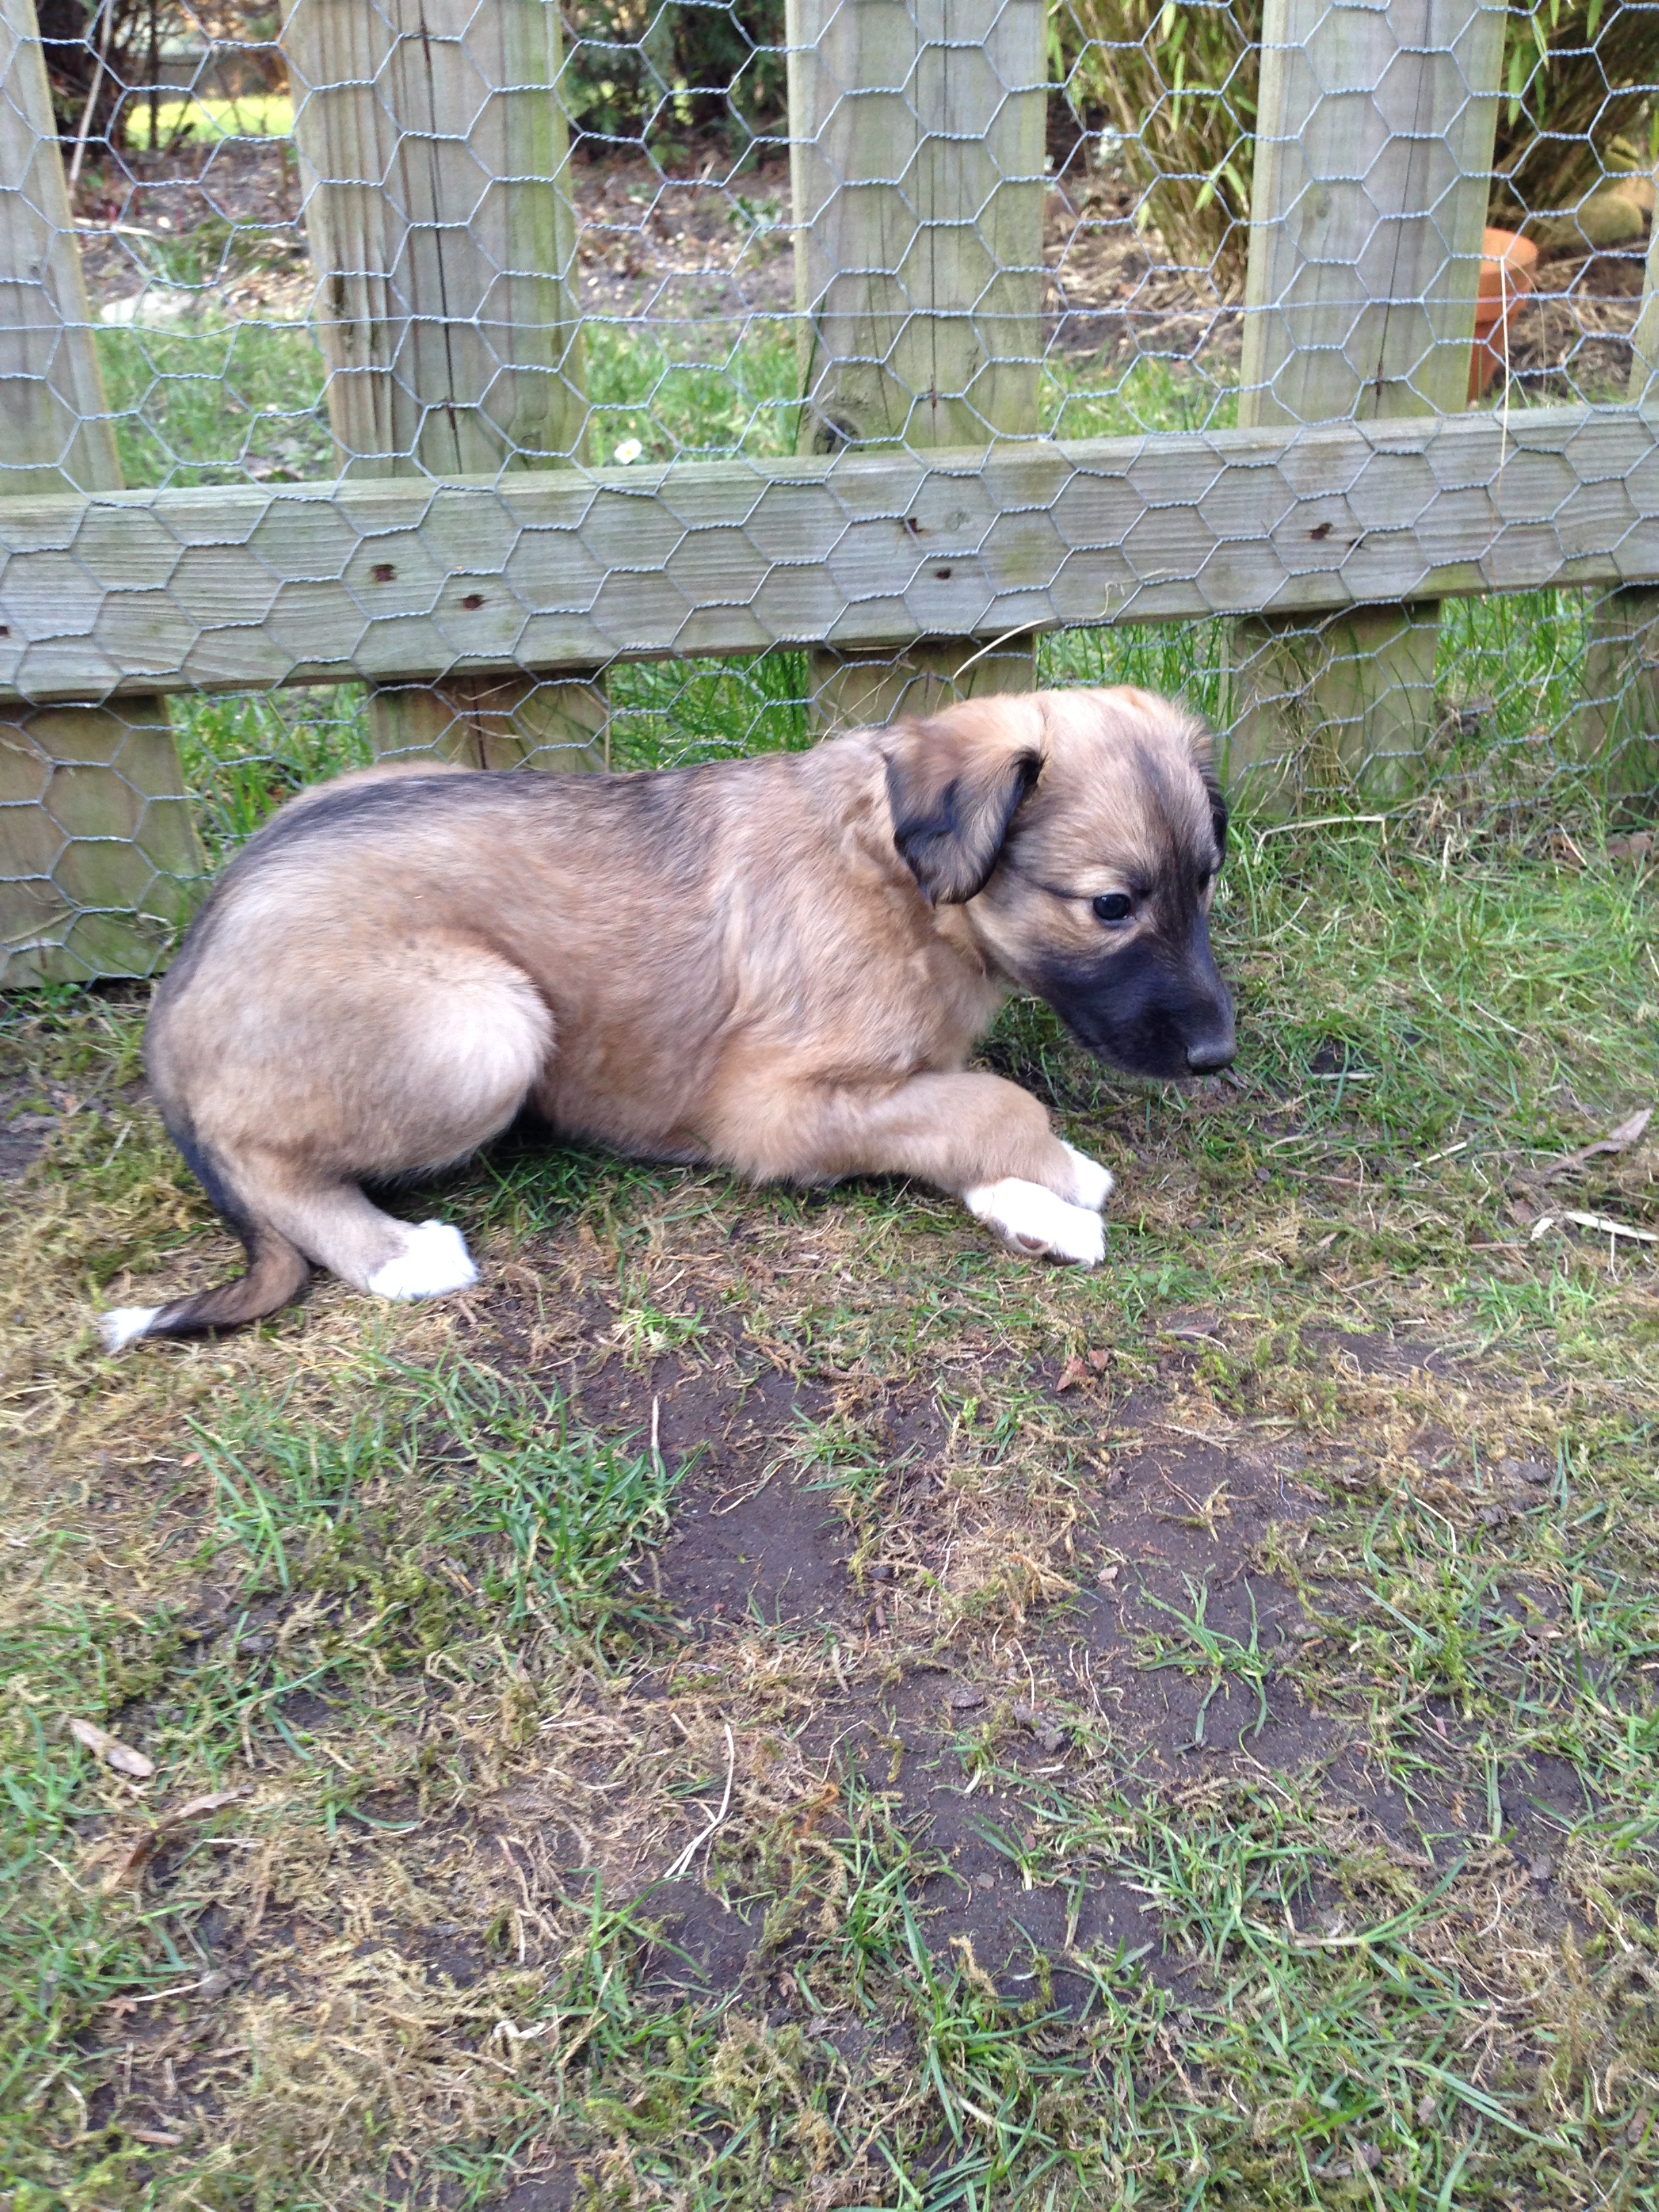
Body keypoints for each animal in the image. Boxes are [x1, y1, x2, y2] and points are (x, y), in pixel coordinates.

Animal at [100, 685, 1234, 1349]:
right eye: (1112, 906)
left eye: (1206, 878)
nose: (1219, 1056)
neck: (904, 888)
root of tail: (182, 979)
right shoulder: (768, 1109)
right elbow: (991, 1100)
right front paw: (1060, 1173)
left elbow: (948, 1110)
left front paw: (1031, 1206)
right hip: (485, 1023)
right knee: (262, 1158)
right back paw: (398, 1253)